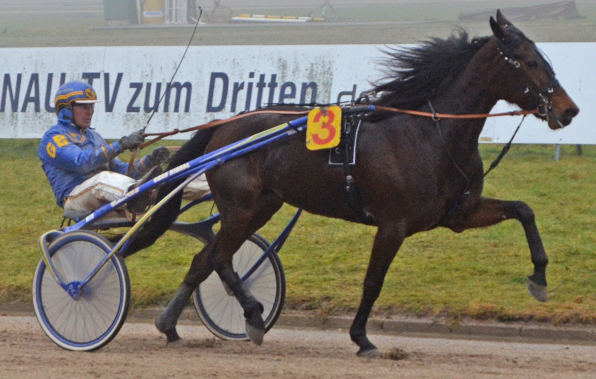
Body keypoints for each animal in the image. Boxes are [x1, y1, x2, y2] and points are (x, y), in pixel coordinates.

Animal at [125, 10, 576, 358]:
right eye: (528, 61)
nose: (569, 110)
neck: (431, 134)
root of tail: (223, 126)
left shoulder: (458, 214)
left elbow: (524, 210)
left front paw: (539, 278)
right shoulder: (393, 224)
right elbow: (373, 282)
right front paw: (362, 338)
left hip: (262, 206)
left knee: (204, 259)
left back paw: (169, 325)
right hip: (240, 207)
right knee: (219, 258)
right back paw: (252, 315)